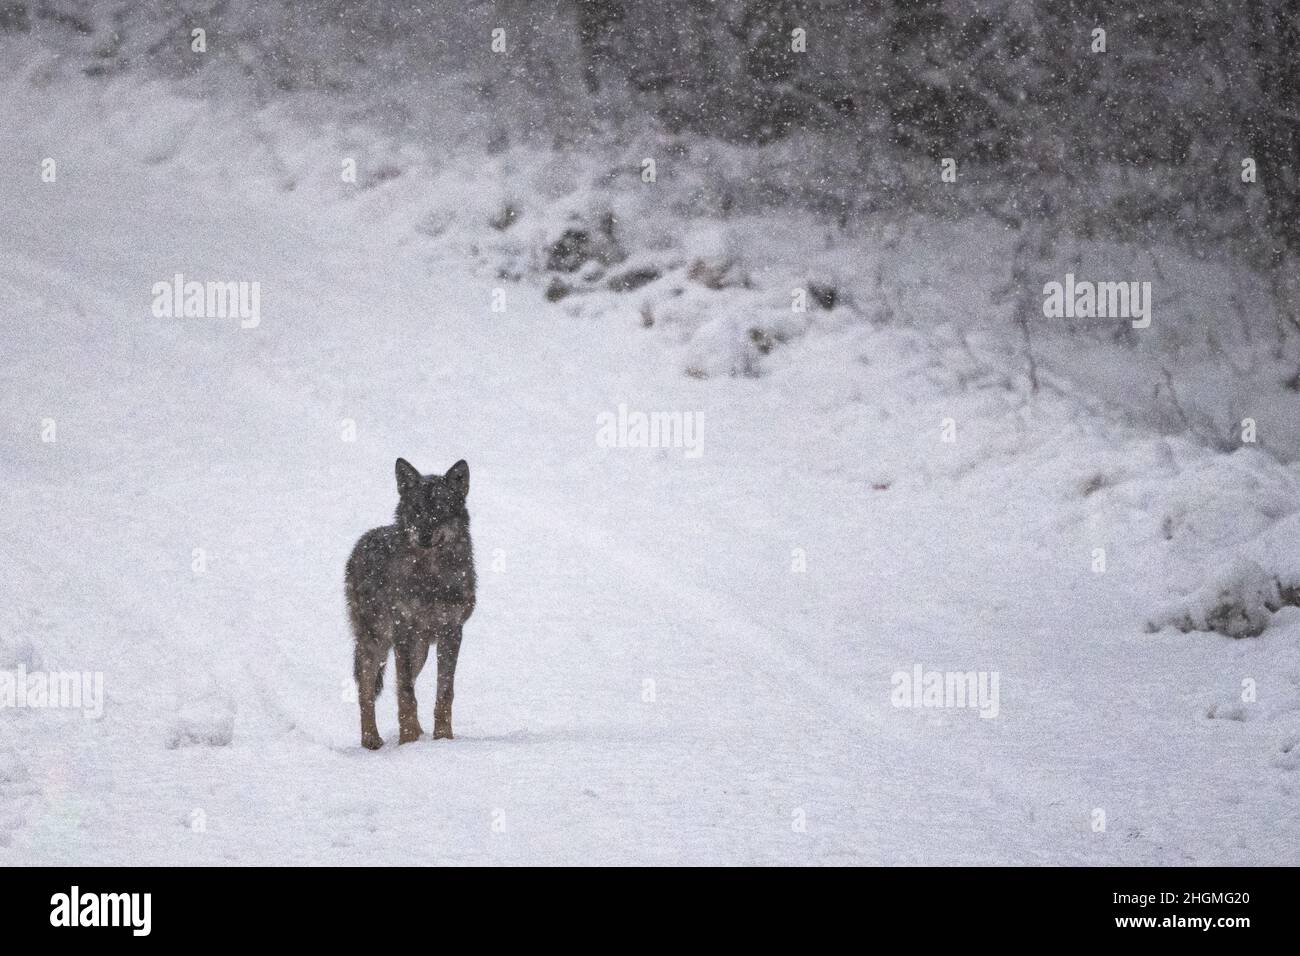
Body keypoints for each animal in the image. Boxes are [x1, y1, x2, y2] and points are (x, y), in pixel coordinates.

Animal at [346, 458, 475, 749]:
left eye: (439, 511)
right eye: (416, 511)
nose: (424, 536)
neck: (431, 577)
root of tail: (360, 543)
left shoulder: (452, 632)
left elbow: (444, 692)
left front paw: (442, 739)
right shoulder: (403, 629)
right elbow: (405, 692)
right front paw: (408, 741)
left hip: (419, 650)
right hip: (378, 643)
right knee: (367, 691)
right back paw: (371, 740)